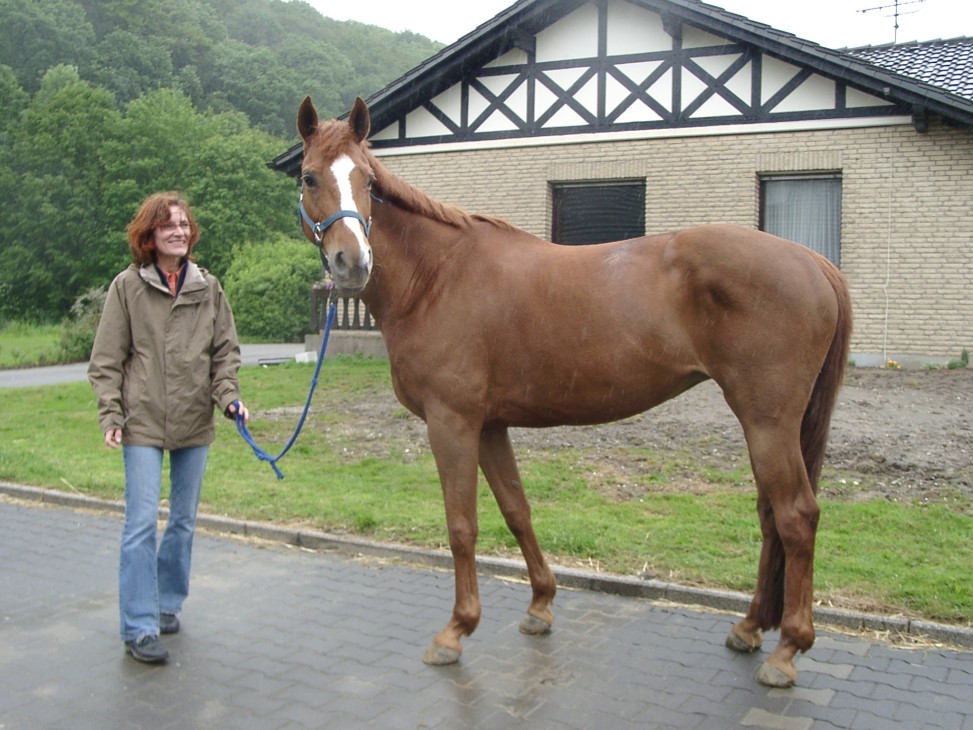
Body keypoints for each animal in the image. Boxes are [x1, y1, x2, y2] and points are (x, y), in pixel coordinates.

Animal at [294, 95, 852, 684]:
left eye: (367, 181)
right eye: (310, 177)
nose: (352, 262)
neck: (437, 277)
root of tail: (814, 261)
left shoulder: (452, 423)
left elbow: (462, 524)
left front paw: (456, 630)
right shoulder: (489, 425)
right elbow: (516, 510)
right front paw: (540, 605)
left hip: (767, 421)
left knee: (796, 516)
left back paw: (787, 649)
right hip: (769, 425)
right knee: (771, 516)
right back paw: (749, 628)